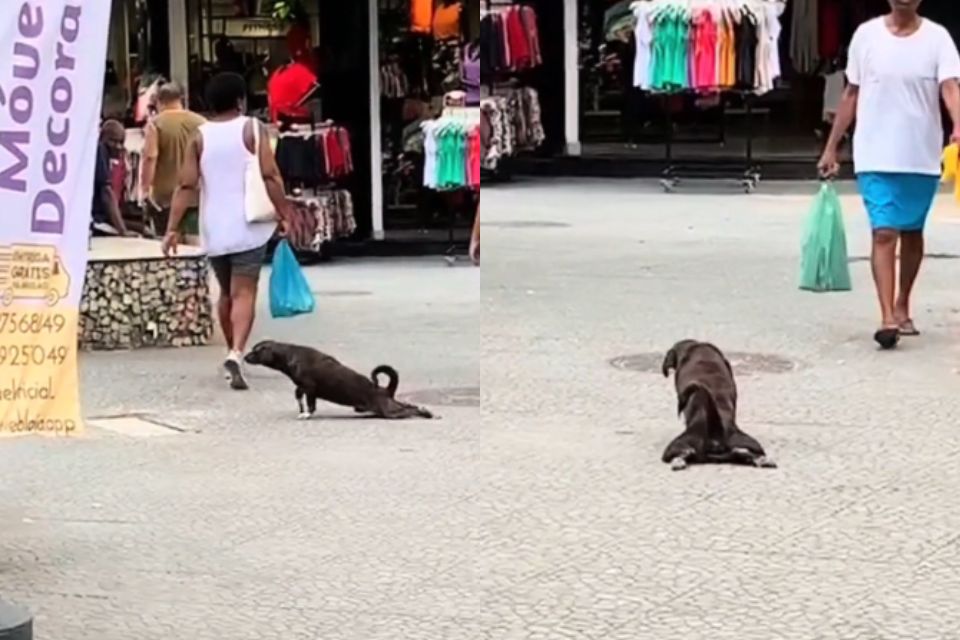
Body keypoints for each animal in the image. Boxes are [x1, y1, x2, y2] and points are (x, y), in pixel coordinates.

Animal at [244, 340, 436, 420]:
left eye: (255, 351)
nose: (245, 357)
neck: (289, 355)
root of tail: (383, 390)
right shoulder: (302, 387)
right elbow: (298, 395)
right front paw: (300, 408)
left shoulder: (310, 388)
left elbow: (311, 405)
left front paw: (306, 414)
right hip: (390, 406)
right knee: (411, 406)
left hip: (389, 411)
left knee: (410, 410)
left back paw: (426, 413)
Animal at [664, 340, 776, 470]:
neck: (694, 347)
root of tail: (716, 435)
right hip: (750, 444)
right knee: (747, 454)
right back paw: (761, 460)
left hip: (674, 447)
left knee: (682, 453)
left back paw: (678, 460)